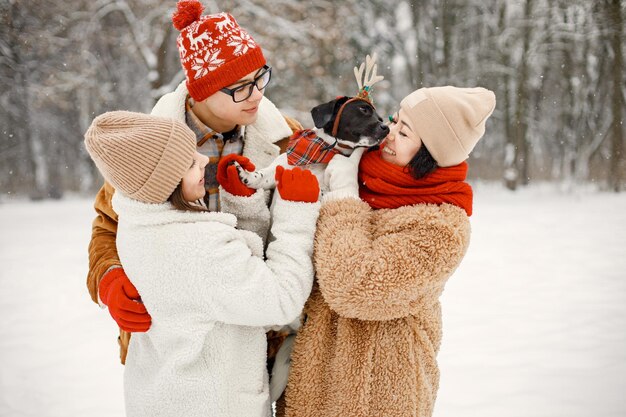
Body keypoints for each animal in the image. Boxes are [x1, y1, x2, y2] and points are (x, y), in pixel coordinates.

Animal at [235, 96, 388, 192]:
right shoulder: (277, 170)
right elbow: (261, 176)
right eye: (364, 109)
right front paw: (247, 175)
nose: (386, 128)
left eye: (380, 118)